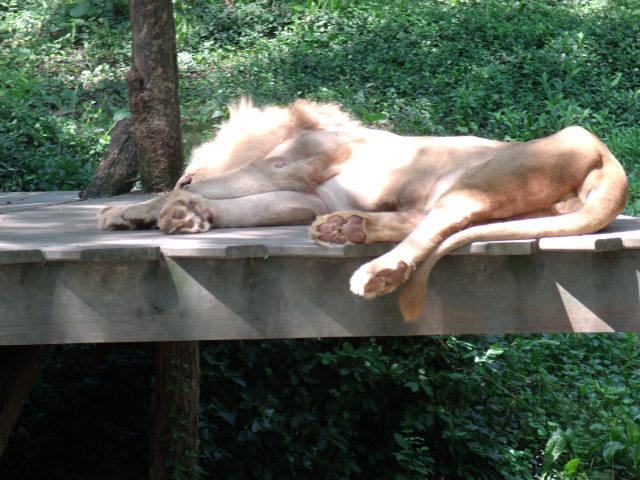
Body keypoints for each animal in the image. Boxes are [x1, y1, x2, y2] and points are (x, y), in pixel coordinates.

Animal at [99, 99, 628, 321]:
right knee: (429, 220)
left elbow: (214, 185)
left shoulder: (289, 168)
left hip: (485, 175)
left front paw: (146, 209)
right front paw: (186, 215)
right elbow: (243, 207)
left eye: (185, 172)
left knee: (442, 223)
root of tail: (607, 157)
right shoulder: (307, 195)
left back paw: (376, 270)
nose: (184, 180)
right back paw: (344, 229)